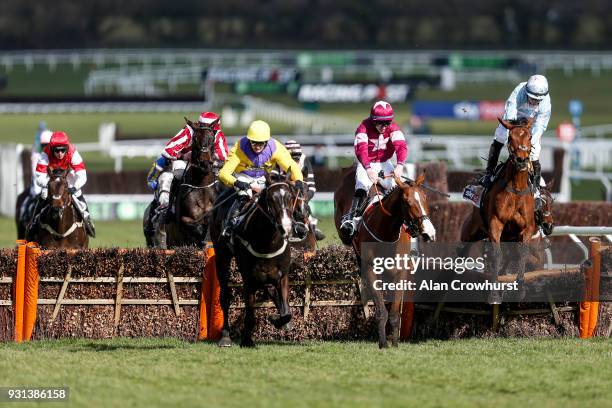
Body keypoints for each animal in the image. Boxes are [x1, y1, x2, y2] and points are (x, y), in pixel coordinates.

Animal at [210, 175, 308, 348]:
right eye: (270, 199)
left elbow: (286, 312)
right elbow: (249, 313)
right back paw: (225, 336)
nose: (286, 228)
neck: (267, 242)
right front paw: (247, 340)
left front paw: (279, 320)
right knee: (225, 296)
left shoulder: (282, 275)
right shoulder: (248, 277)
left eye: (290, 197)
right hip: (222, 254)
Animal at [334, 171, 436, 350]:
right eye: (407, 203)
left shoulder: (400, 272)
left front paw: (394, 343)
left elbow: (394, 312)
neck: (387, 232)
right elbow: (381, 311)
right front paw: (383, 344)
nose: (429, 233)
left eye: (425, 198)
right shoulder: (371, 270)